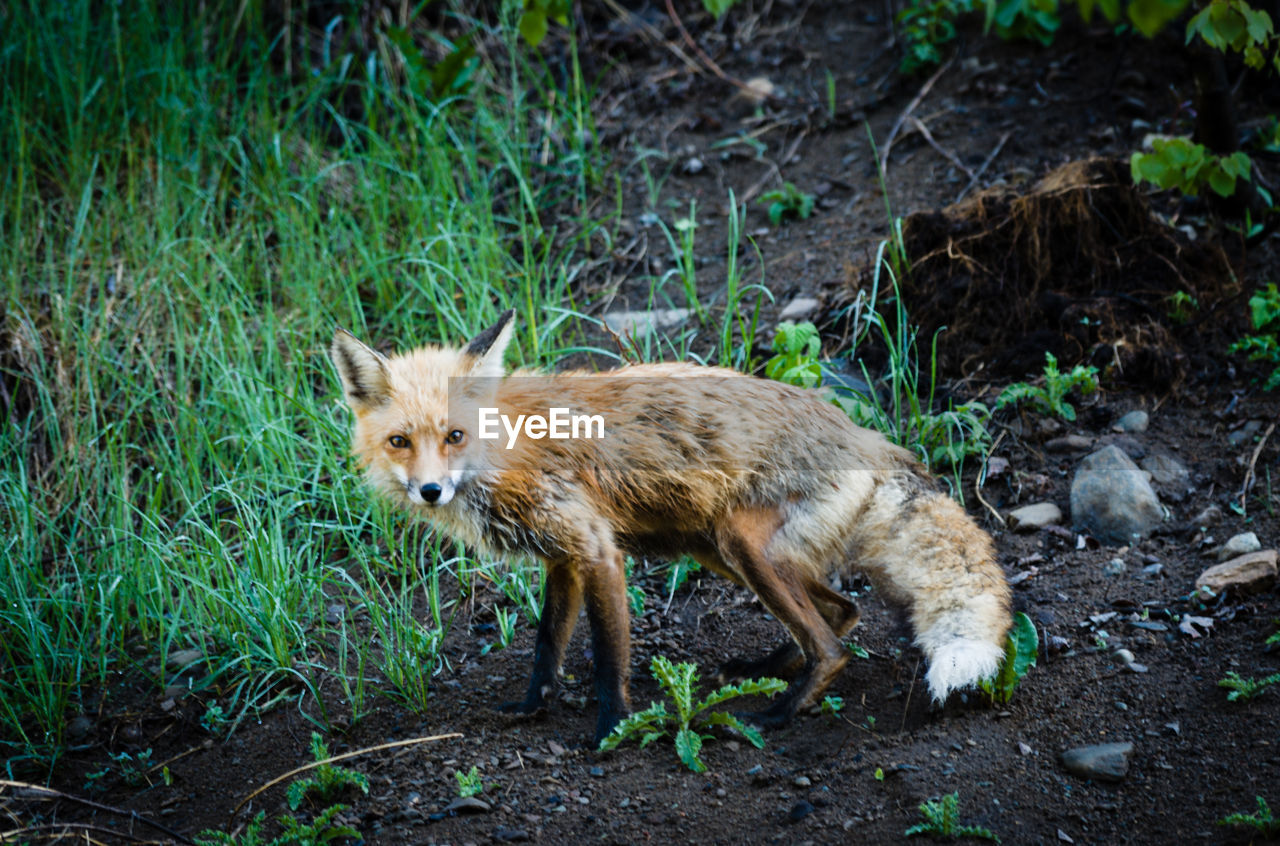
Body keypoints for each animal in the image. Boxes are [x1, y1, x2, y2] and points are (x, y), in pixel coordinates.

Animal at [330, 308, 1008, 737]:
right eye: (399, 441)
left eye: (454, 436)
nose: (431, 491)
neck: (506, 448)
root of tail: (865, 436)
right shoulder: (561, 556)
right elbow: (547, 646)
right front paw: (531, 707)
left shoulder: (597, 550)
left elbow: (608, 655)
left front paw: (610, 730)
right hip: (724, 549)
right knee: (844, 611)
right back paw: (766, 671)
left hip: (741, 545)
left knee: (834, 646)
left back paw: (779, 713)